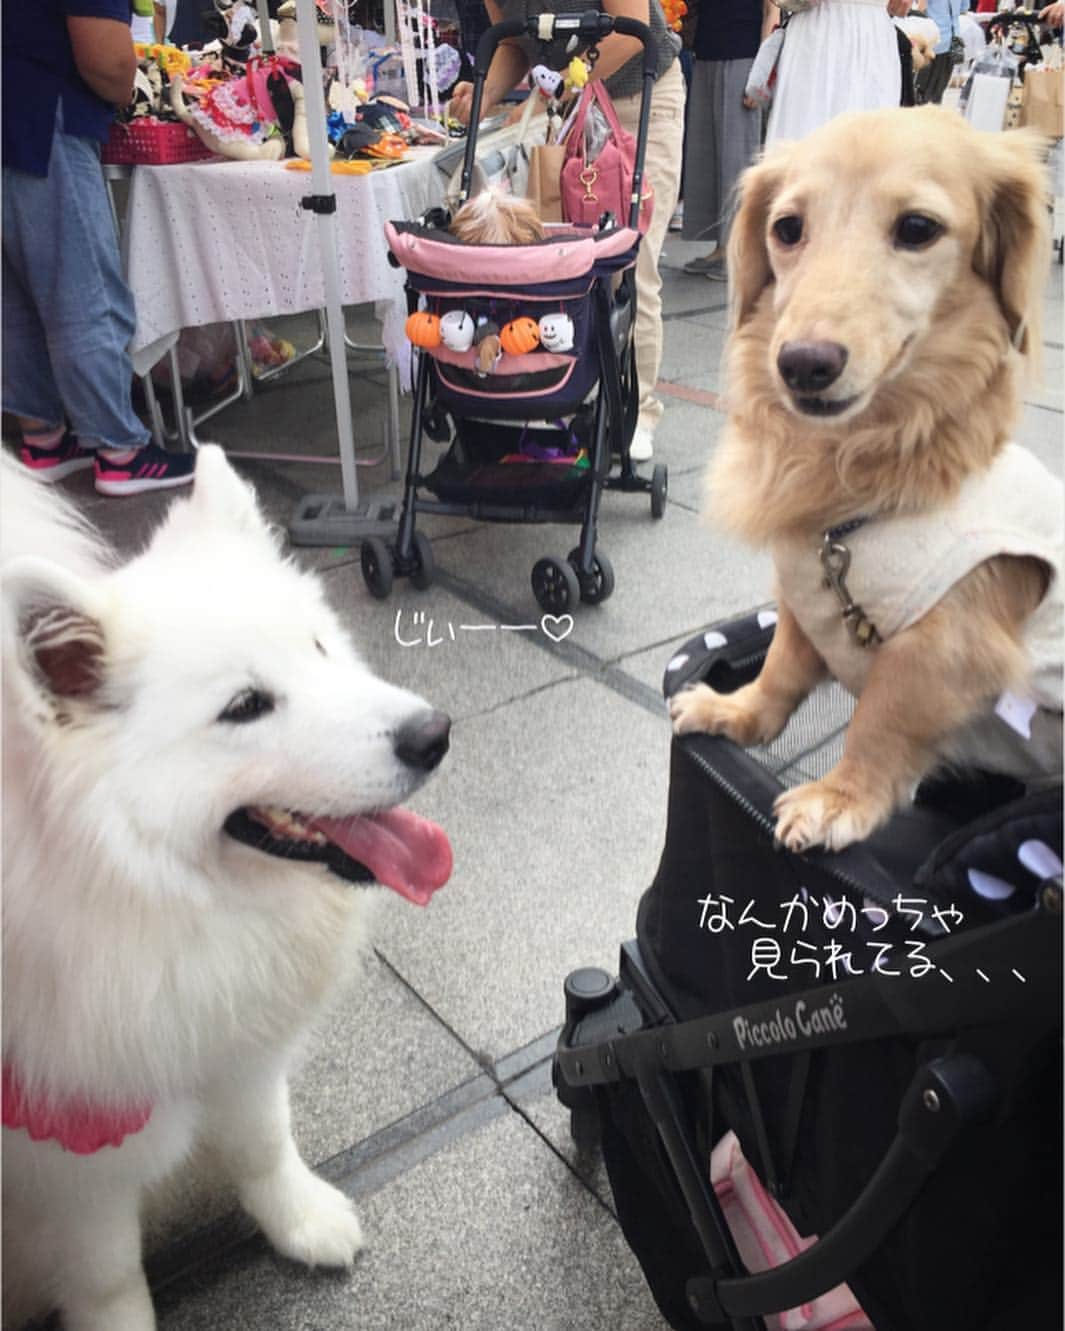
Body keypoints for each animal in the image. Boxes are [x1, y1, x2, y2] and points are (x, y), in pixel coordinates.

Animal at [0, 449, 452, 1331]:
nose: (434, 735)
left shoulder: (231, 1039)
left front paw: (301, 1220)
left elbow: (262, 1140)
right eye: (244, 707)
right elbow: (107, 1276)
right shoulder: (72, 1163)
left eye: (318, 646)